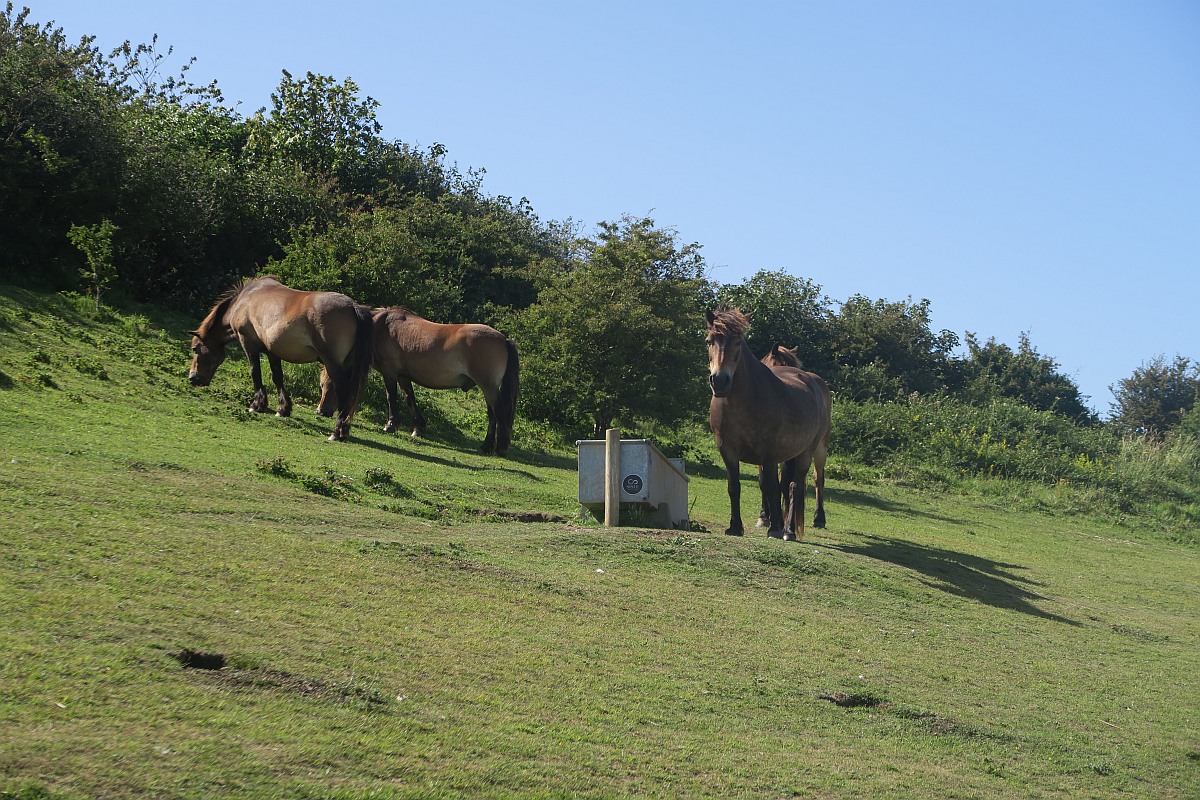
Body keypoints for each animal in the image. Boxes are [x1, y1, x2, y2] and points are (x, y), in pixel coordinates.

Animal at [184, 277, 372, 441]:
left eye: (195, 349)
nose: (193, 378)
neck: (244, 301)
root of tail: (353, 306)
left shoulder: (248, 344)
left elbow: (255, 372)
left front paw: (257, 405)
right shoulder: (272, 351)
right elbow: (277, 377)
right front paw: (283, 409)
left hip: (332, 363)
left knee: (343, 391)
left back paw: (336, 432)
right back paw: (343, 430)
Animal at [316, 307, 518, 455]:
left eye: (332, 385)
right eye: (322, 385)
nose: (321, 411)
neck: (380, 328)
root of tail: (503, 338)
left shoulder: (390, 373)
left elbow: (391, 397)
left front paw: (390, 425)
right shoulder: (403, 376)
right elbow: (409, 399)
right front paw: (418, 428)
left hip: (488, 387)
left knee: (498, 413)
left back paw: (500, 447)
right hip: (488, 388)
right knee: (492, 415)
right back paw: (486, 446)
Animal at [700, 309, 835, 542]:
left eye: (738, 343)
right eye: (709, 341)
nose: (719, 381)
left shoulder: (769, 453)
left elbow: (773, 487)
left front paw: (775, 528)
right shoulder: (727, 450)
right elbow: (735, 487)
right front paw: (736, 526)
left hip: (811, 451)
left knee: (799, 485)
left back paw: (794, 528)